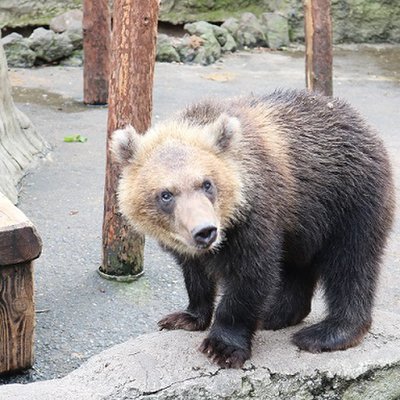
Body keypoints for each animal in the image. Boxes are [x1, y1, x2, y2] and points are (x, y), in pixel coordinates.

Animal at [111, 90, 396, 368]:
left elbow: (250, 274)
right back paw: (276, 313)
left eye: (207, 184)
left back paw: (327, 333)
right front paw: (184, 317)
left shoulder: (255, 215)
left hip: (348, 199)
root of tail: (361, 122)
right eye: (166, 194)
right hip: (302, 223)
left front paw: (223, 347)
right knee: (297, 266)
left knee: (351, 263)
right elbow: (195, 274)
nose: (205, 231)